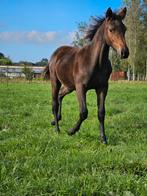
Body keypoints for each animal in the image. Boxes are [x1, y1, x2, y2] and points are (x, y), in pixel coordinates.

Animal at [44, 7, 129, 144]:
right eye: (111, 29)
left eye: (125, 29)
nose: (125, 52)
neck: (95, 61)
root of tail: (56, 53)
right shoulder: (80, 87)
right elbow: (84, 112)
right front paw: (71, 131)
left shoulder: (102, 88)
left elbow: (101, 112)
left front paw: (103, 139)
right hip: (55, 81)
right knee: (54, 102)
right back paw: (57, 128)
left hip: (69, 86)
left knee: (60, 95)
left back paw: (56, 120)